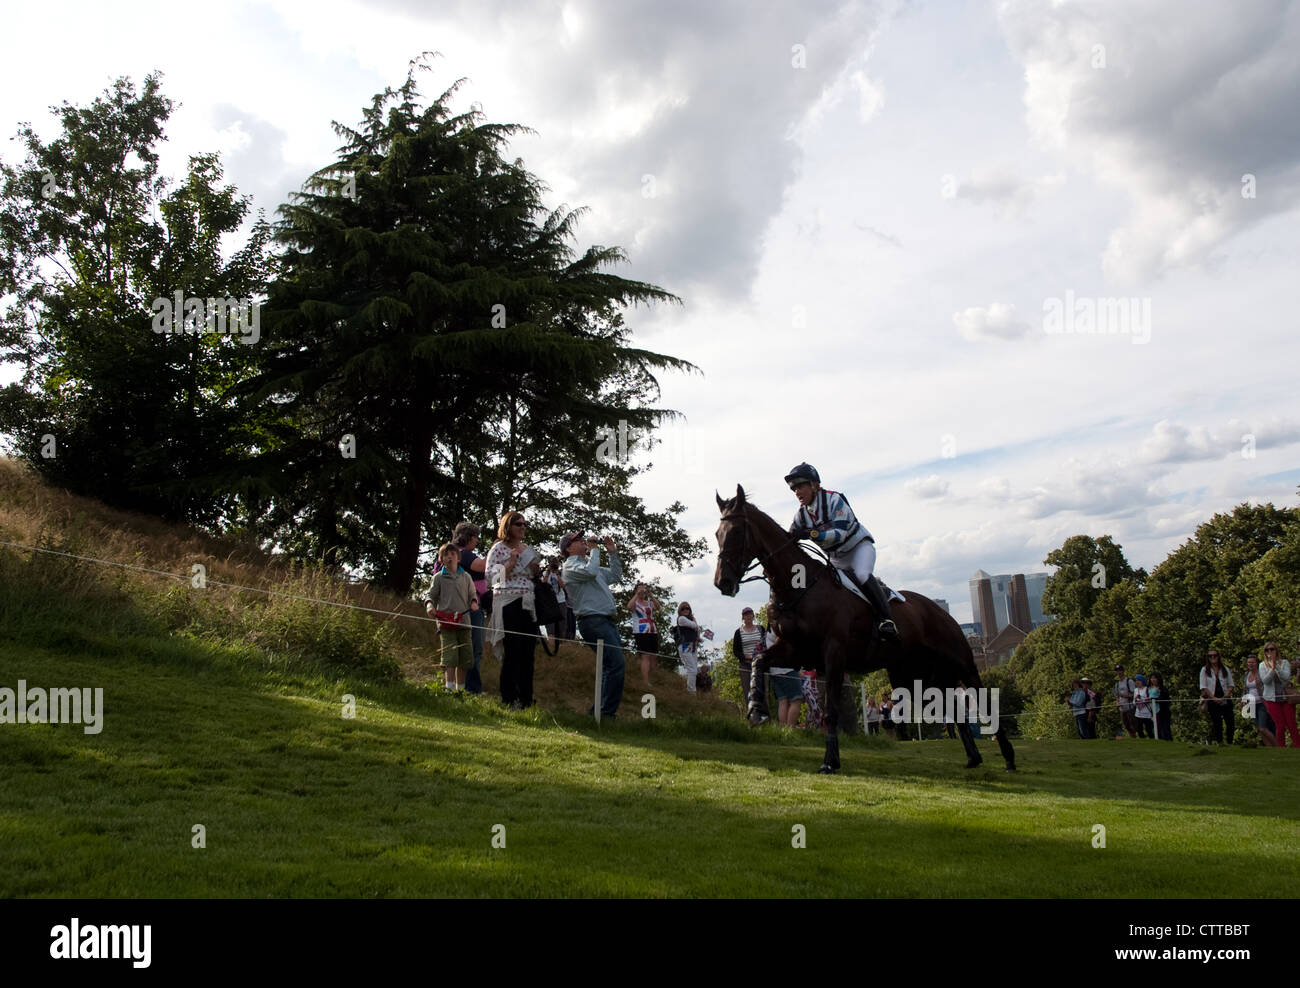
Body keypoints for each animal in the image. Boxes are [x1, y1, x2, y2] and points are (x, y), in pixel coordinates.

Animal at [712, 483, 1013, 769]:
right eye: (717, 533)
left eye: (736, 532)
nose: (722, 582)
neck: (799, 586)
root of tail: (940, 609)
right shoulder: (796, 651)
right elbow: (758, 661)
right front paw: (756, 709)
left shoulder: (833, 653)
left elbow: (831, 710)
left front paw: (830, 760)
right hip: (915, 676)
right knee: (952, 708)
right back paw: (973, 758)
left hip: (962, 663)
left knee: (983, 699)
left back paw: (1009, 758)